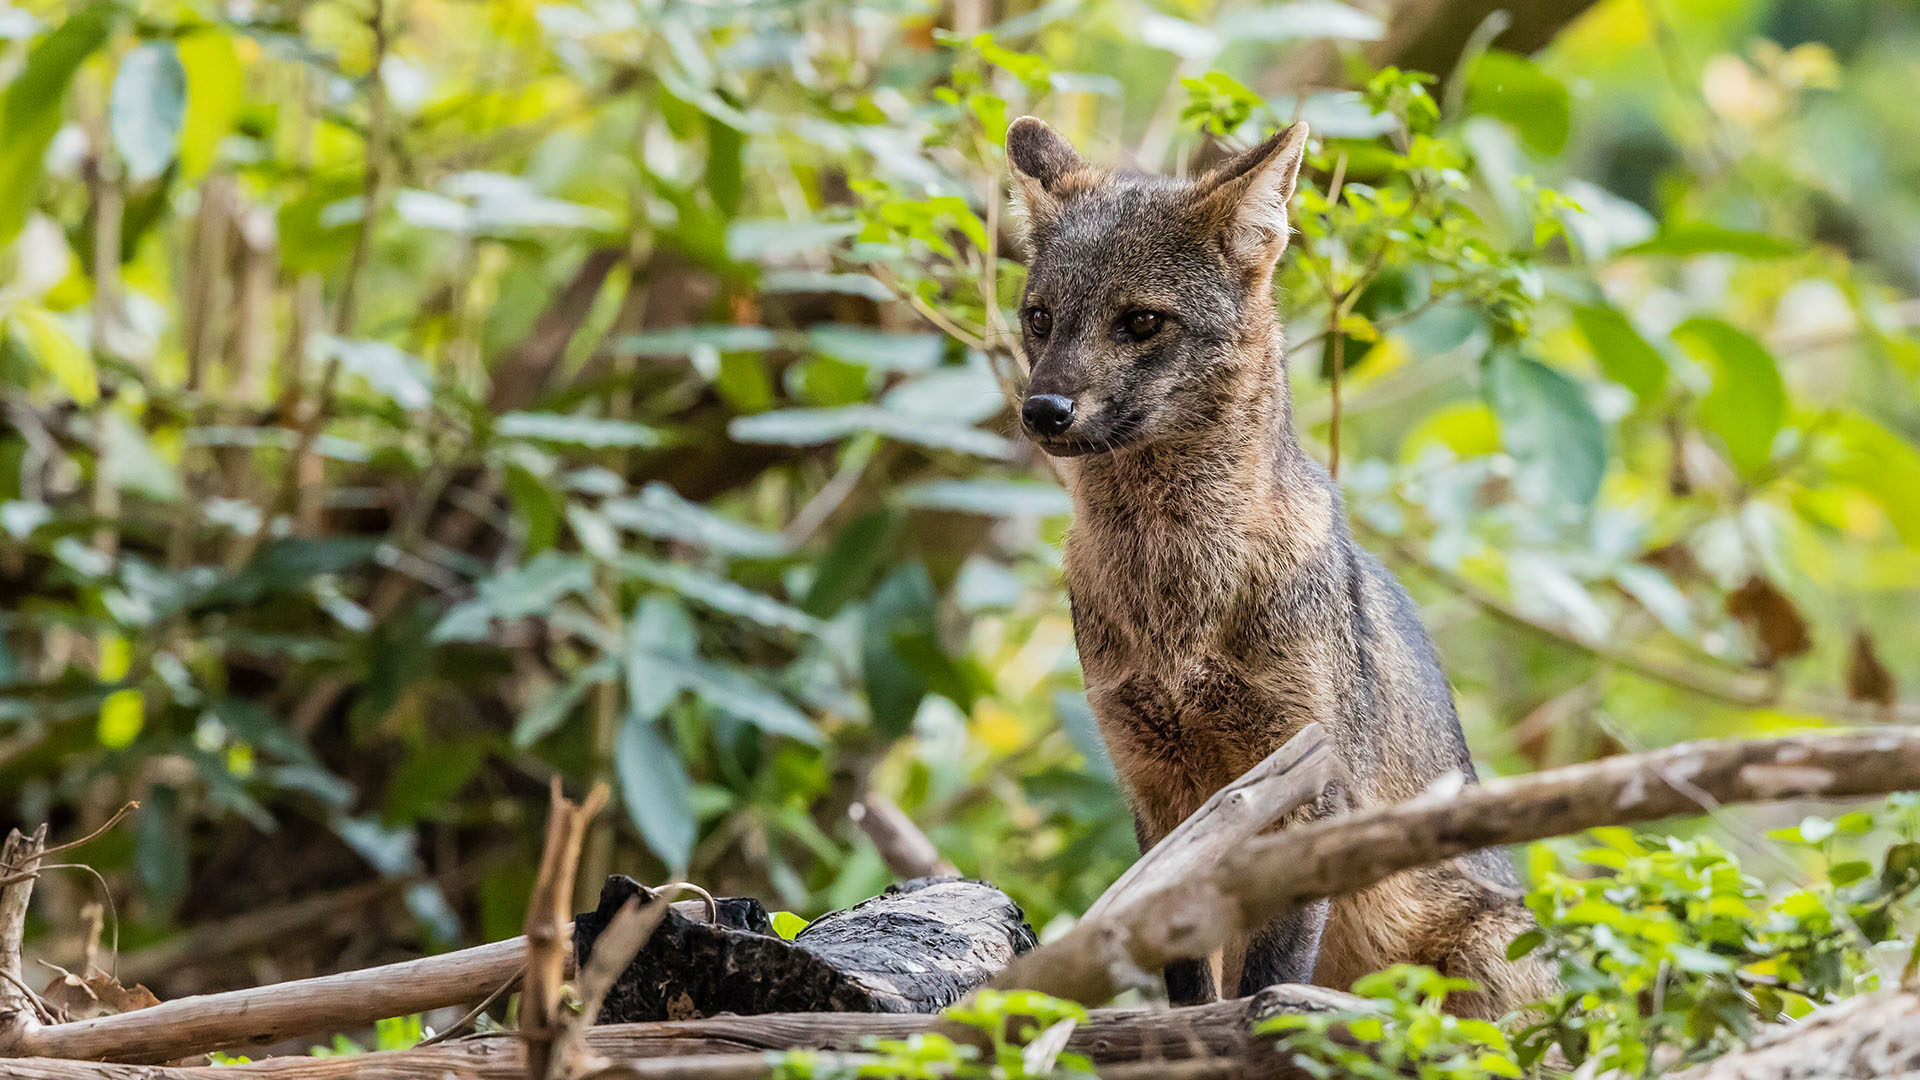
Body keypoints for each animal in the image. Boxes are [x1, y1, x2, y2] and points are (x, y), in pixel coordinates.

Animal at [1013, 113, 1551, 1014]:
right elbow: (1190, 979)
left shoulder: (1304, 786)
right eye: (1041, 317)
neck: (1179, 605)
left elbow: (1269, 973)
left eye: (1142, 322)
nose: (1043, 409)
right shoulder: (1157, 789)